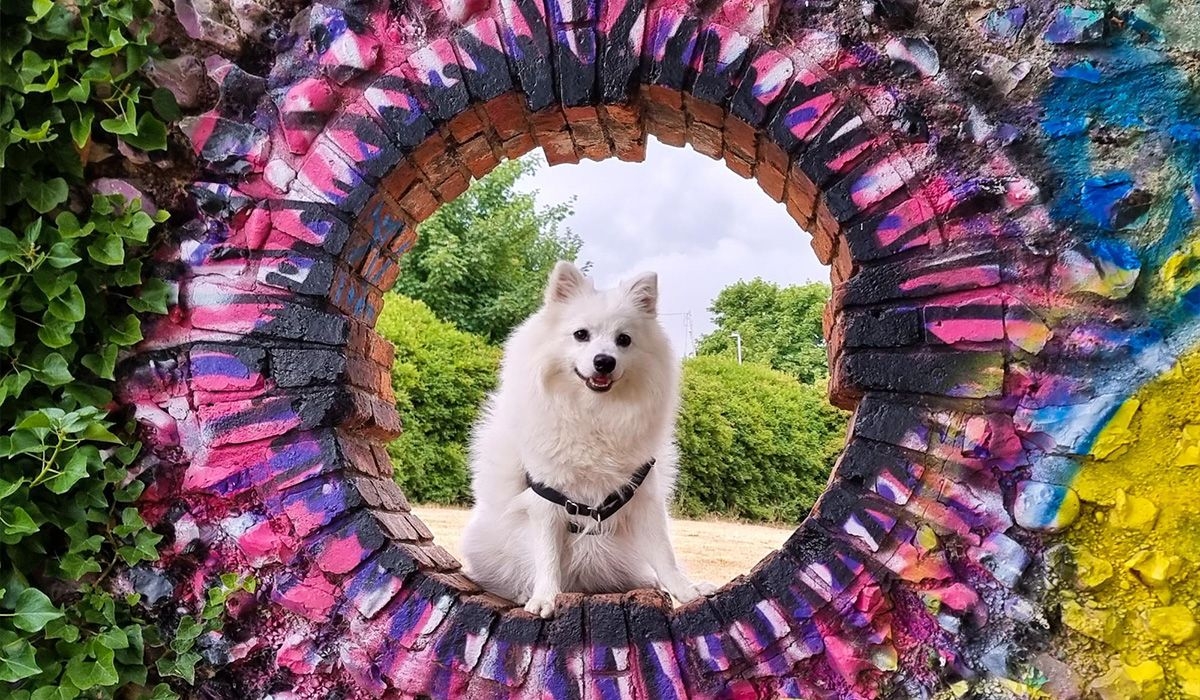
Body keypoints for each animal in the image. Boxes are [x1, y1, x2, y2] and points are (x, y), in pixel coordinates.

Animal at [463, 260, 715, 614]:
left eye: (624, 340)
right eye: (581, 335)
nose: (604, 361)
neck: (594, 414)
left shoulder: (644, 499)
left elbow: (666, 558)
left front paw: (688, 592)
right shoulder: (545, 503)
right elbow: (547, 559)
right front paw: (544, 598)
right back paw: (523, 592)